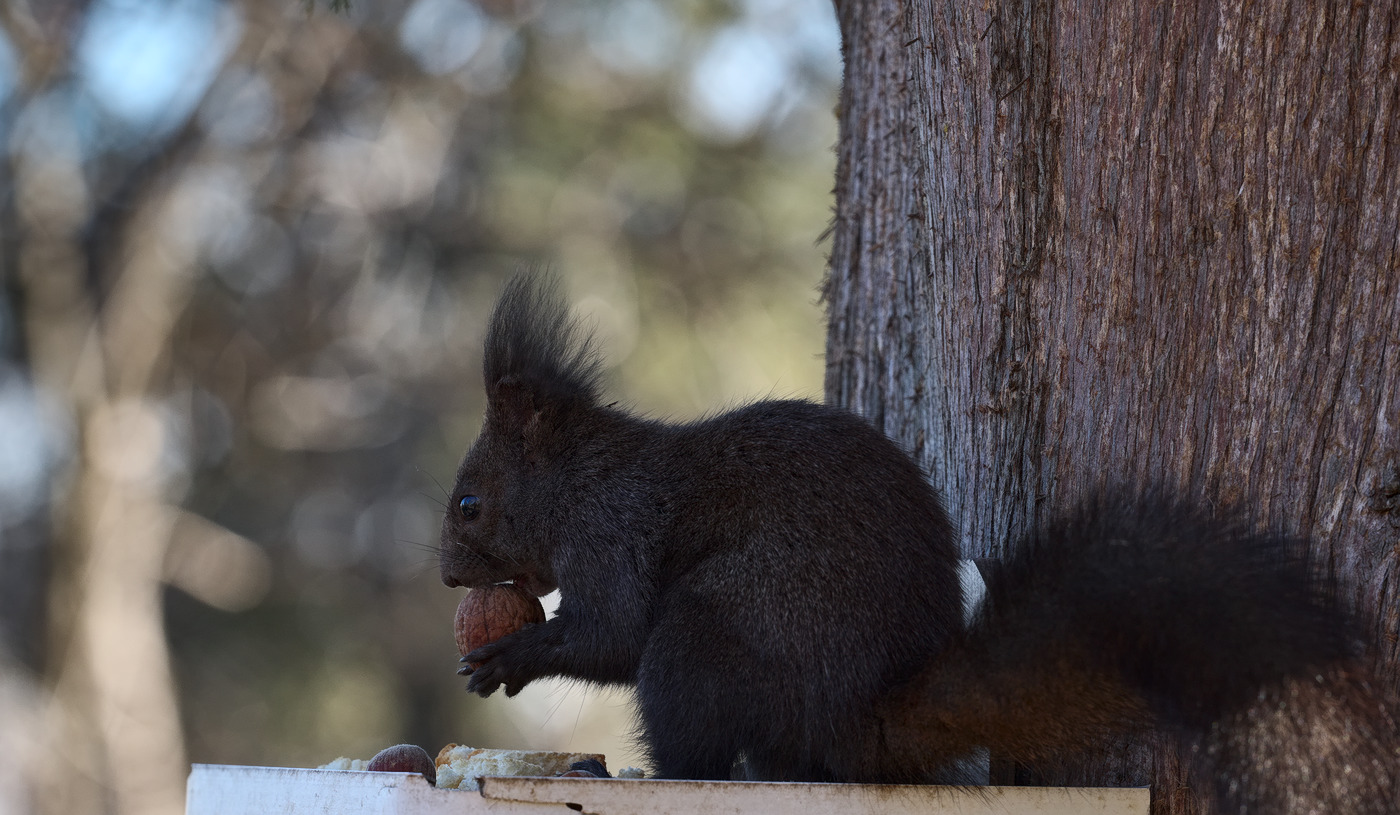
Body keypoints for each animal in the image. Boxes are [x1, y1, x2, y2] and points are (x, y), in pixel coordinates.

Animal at [439, 273, 1400, 812]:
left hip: (715, 629)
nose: (447, 575)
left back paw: (652, 775)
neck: (582, 478)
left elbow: (611, 633)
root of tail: (863, 719)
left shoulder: (617, 532)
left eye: (470, 503)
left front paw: (512, 655)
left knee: (696, 733)